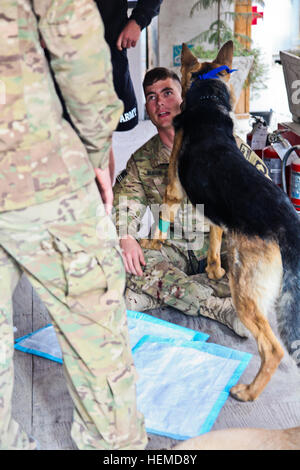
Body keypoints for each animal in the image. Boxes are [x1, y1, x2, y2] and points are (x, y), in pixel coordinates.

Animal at [141, 41, 300, 400]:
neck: (208, 102)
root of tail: (290, 228)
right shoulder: (212, 212)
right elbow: (214, 242)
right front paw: (214, 271)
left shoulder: (173, 190)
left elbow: (161, 222)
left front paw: (150, 243)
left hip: (245, 291)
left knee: (273, 349)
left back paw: (248, 392)